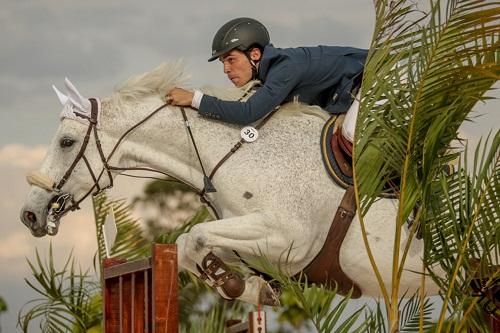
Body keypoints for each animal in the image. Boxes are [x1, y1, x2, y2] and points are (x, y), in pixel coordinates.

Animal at [19, 61, 438, 304]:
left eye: (66, 142)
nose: (29, 215)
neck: (237, 154)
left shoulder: (290, 237)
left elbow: (194, 236)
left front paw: (237, 287)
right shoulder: (251, 241)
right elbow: (190, 245)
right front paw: (248, 288)